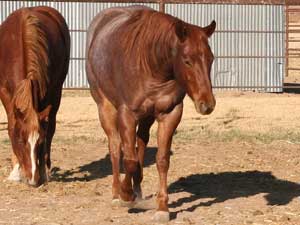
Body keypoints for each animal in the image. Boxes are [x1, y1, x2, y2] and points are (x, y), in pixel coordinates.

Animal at [0, 6, 70, 186]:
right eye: (20, 140)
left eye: (40, 141)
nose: (33, 180)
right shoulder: (4, 93)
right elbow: (11, 126)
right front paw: (15, 172)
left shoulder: (46, 92)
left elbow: (47, 129)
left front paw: (43, 171)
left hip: (57, 91)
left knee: (51, 126)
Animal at [86, 5, 216, 221]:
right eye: (187, 60)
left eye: (211, 59)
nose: (207, 104)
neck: (153, 67)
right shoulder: (127, 114)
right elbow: (129, 160)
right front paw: (126, 195)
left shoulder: (170, 114)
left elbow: (161, 160)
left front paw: (162, 207)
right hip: (105, 107)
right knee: (116, 147)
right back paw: (117, 194)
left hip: (146, 117)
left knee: (140, 142)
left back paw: (137, 191)